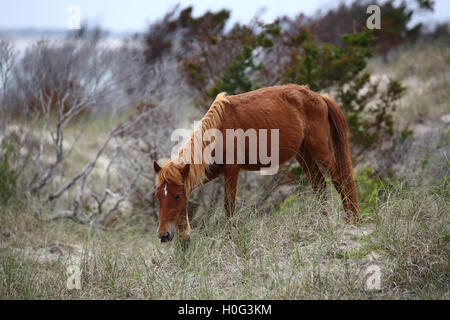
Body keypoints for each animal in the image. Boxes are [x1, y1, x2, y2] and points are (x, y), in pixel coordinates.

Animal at [154, 84, 358, 245]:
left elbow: (229, 206)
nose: (163, 234)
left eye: (177, 196)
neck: (217, 132)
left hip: (318, 147)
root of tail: (319, 97)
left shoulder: (231, 171)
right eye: (158, 196)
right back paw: (321, 224)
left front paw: (230, 240)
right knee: (319, 185)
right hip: (303, 153)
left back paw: (351, 221)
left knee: (339, 180)